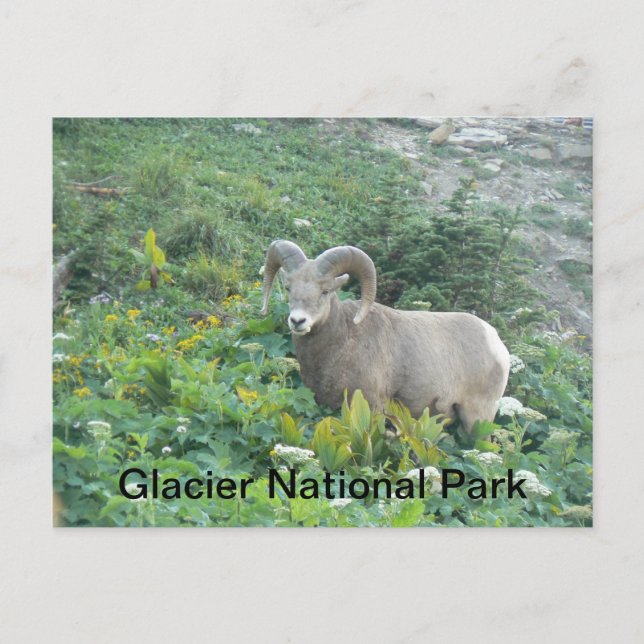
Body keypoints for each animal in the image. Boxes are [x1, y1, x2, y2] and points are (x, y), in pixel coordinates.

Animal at [260, 240, 510, 433]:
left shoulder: (370, 407)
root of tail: (497, 344)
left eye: (325, 291)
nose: (297, 321)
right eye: (289, 288)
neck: (342, 344)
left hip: (476, 418)